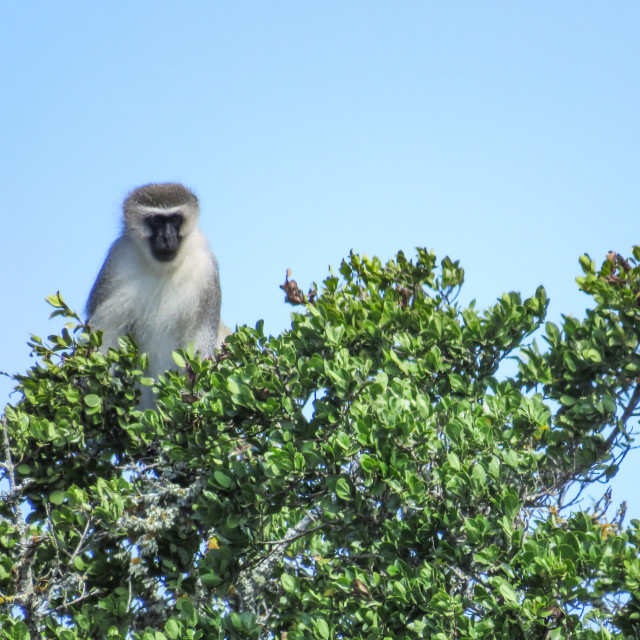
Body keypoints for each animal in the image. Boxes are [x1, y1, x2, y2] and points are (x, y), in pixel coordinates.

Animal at [85, 182, 225, 408]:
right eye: (157, 220)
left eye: (175, 219)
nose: (167, 237)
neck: (163, 268)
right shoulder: (118, 260)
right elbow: (106, 328)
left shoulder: (206, 269)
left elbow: (201, 334)